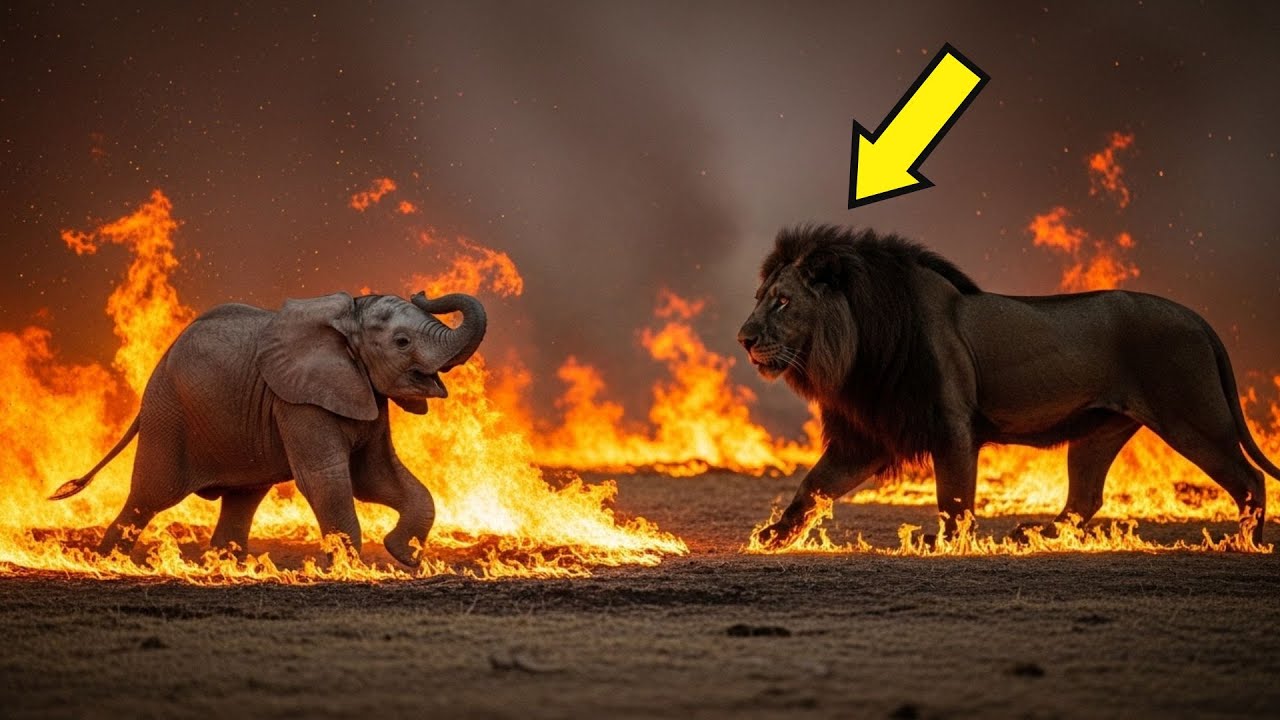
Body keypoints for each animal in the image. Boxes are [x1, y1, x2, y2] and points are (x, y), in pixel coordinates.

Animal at [50, 291, 486, 567]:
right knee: (151, 495)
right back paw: (107, 562)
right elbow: (327, 478)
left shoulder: (366, 396)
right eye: (402, 342)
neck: (347, 321)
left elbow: (376, 477)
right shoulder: (297, 402)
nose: (421, 292)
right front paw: (350, 569)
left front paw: (403, 555)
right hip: (167, 413)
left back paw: (224, 567)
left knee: (243, 498)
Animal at [738, 224, 1280, 547]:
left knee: (1251, 481)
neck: (854, 350)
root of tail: (1195, 318)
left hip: (1194, 419)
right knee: (1084, 500)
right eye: (760, 297)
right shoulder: (866, 437)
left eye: (783, 301)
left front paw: (947, 544)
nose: (744, 338)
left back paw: (1242, 544)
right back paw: (1032, 534)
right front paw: (775, 536)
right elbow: (813, 486)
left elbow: (954, 499)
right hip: (1098, 431)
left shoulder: (952, 426)